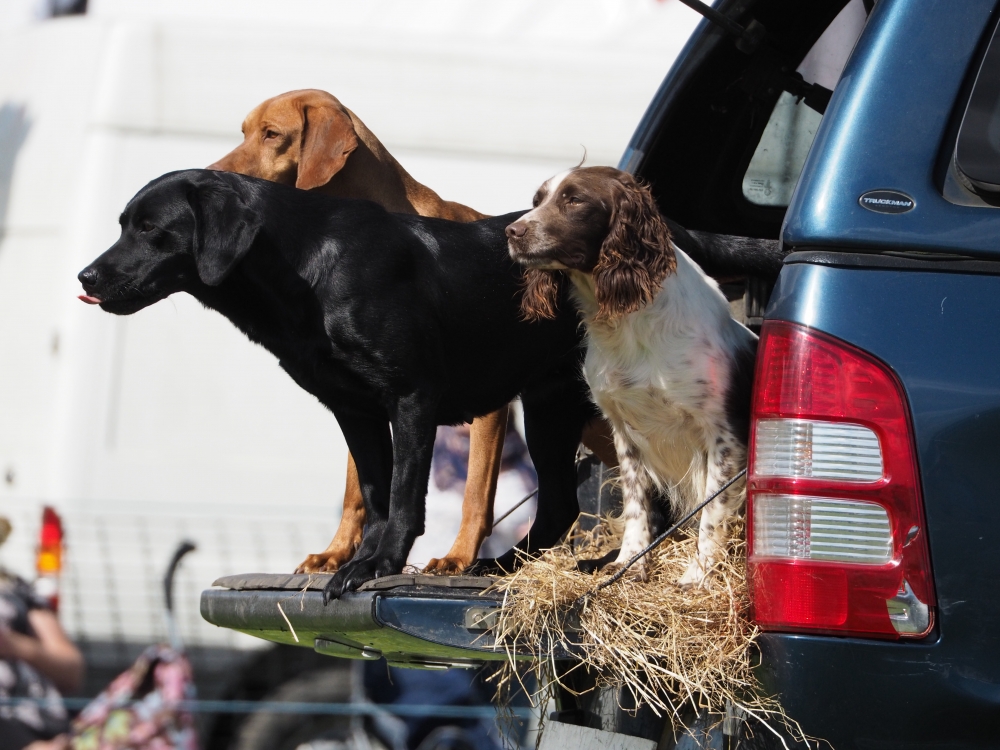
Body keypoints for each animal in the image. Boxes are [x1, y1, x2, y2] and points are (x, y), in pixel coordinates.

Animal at [211, 91, 616, 580]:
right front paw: (338, 553)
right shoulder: (365, 400)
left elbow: (474, 494)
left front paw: (459, 556)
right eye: (244, 132)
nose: (210, 172)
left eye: (272, 134)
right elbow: (359, 491)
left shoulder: (486, 411)